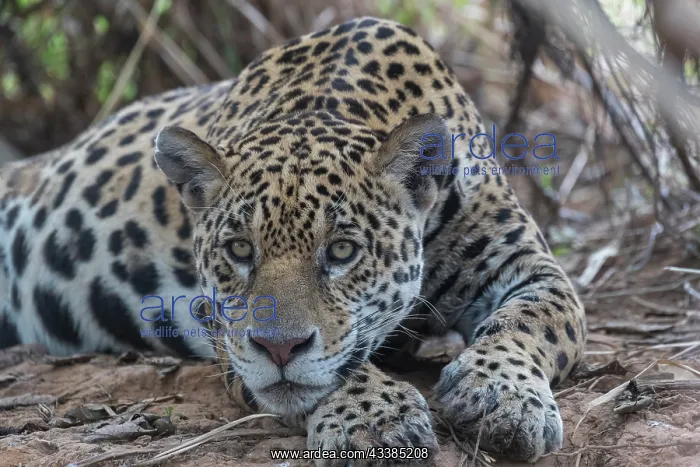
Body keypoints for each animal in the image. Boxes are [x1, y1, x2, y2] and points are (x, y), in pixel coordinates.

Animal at [0, 16, 586, 465]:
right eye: (239, 250)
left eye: (342, 250)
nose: (278, 349)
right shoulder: (225, 330)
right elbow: (329, 368)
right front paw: (374, 419)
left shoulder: (520, 261)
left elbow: (538, 317)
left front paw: (503, 395)